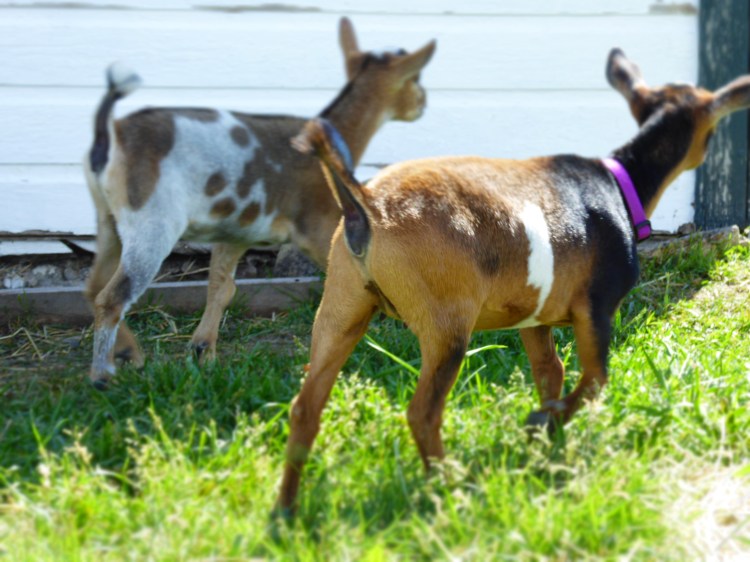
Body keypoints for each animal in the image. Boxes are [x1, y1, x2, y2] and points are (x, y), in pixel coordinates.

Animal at [83, 18, 436, 387]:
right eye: (415, 79)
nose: (424, 102)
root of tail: (109, 136)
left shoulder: (235, 232)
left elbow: (222, 287)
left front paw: (203, 352)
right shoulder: (318, 223)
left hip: (107, 216)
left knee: (94, 286)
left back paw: (130, 353)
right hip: (151, 219)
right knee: (113, 297)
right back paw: (102, 376)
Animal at [274, 48, 750, 513]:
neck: (618, 183)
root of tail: (367, 204)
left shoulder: (535, 319)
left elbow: (552, 373)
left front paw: (546, 441)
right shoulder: (596, 308)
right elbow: (595, 378)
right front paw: (543, 423)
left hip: (340, 308)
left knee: (305, 409)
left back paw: (285, 510)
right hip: (447, 326)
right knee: (422, 413)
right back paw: (449, 492)